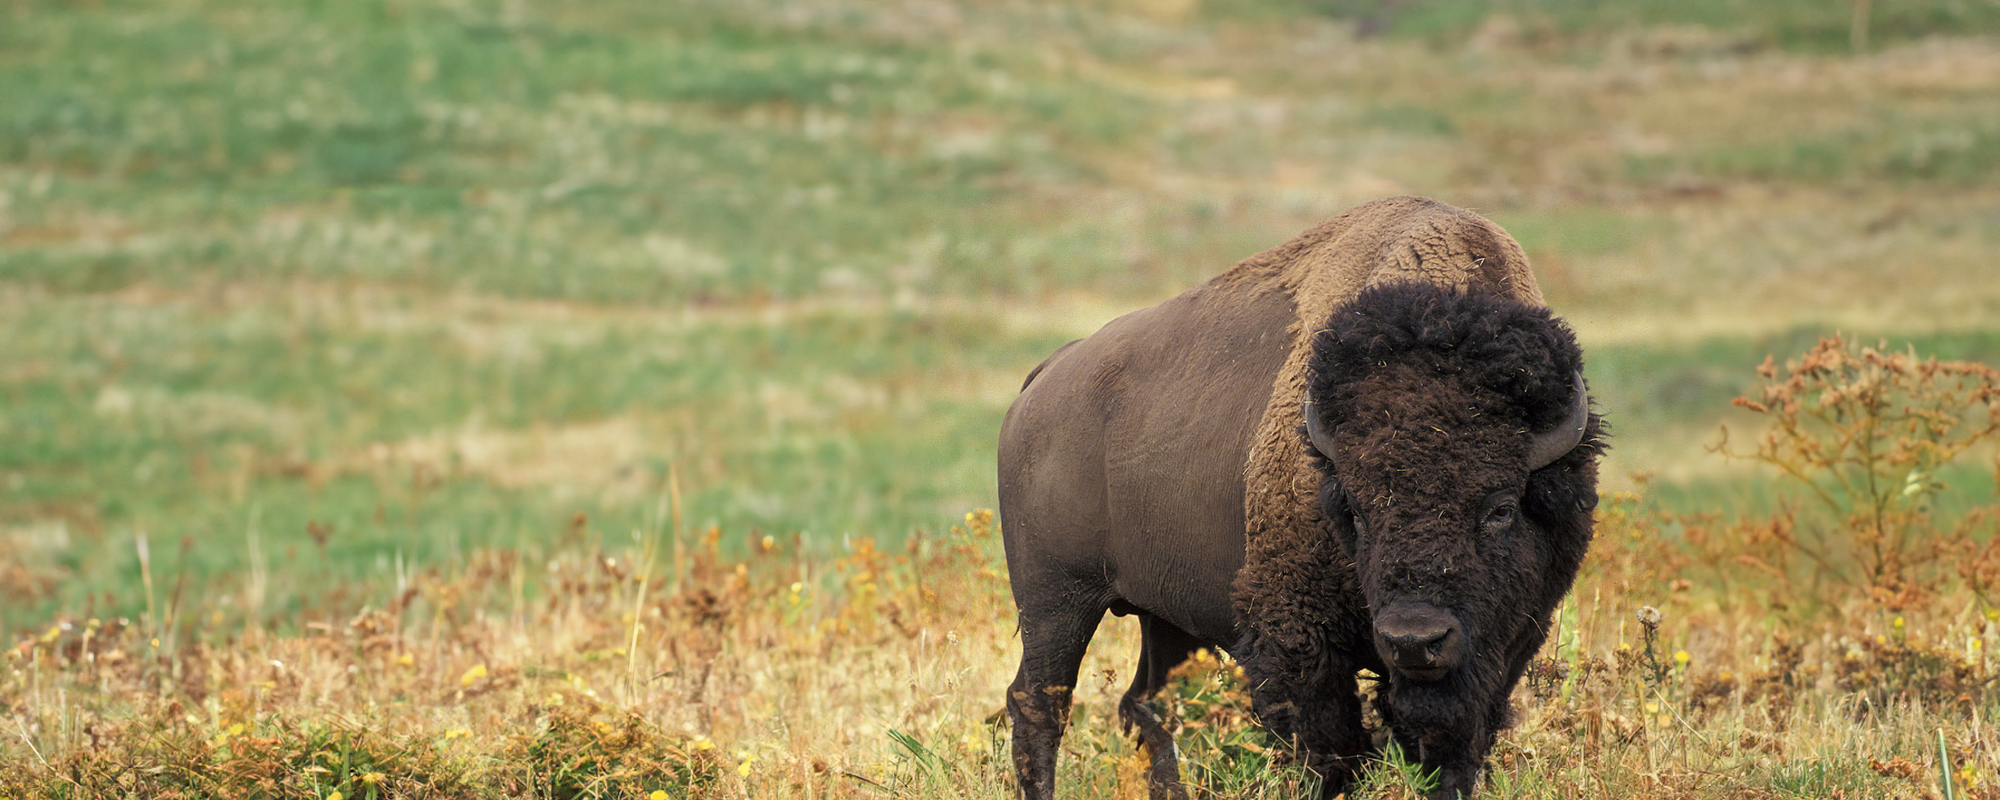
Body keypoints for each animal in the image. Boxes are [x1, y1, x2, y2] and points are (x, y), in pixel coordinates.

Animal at [997, 196, 1605, 800]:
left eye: (1501, 508)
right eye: (1355, 510)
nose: (1414, 640)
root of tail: (1042, 380)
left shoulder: (1506, 647)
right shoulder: (1297, 640)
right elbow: (1328, 752)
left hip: (1162, 613)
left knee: (1147, 704)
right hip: (1056, 599)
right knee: (1039, 705)